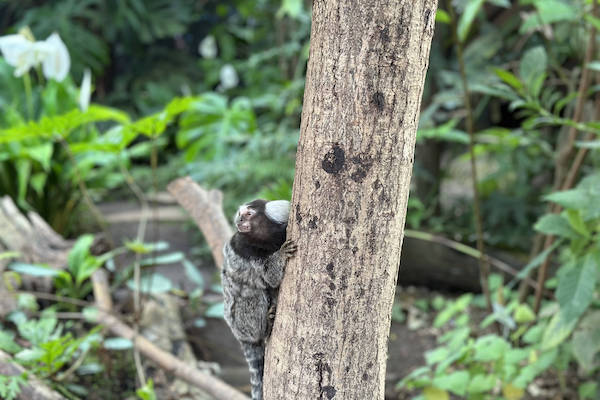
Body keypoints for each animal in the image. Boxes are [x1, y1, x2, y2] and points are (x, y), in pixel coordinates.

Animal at [220, 198, 296, 398]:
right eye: (241, 214)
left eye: (248, 214)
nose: (239, 221)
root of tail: (239, 335)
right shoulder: (248, 249)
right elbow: (270, 276)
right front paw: (281, 254)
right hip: (241, 322)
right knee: (254, 294)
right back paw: (266, 326)